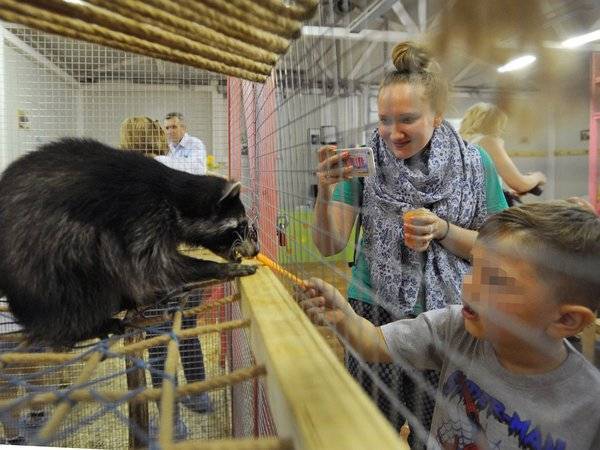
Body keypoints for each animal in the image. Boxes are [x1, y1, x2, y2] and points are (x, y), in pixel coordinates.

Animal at [0, 139, 258, 346]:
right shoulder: (144, 214)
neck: (175, 194)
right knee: (77, 275)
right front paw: (217, 268)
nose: (256, 250)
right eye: (242, 225)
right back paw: (86, 327)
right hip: (43, 251)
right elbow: (156, 264)